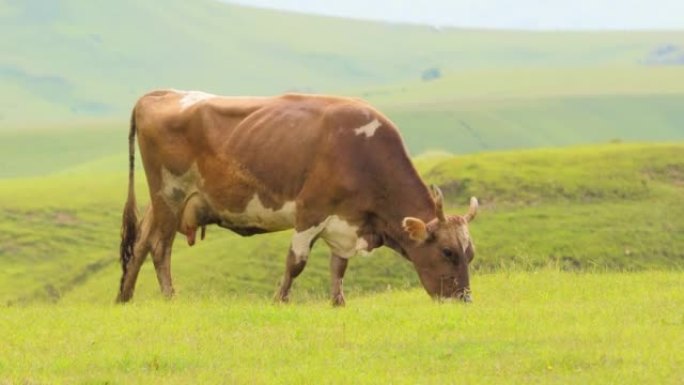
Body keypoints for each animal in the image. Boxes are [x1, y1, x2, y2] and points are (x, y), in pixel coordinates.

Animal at [117, 88, 478, 304]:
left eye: (470, 253)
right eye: (447, 251)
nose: (464, 299)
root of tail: (162, 93)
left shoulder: (344, 222)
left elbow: (338, 268)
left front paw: (338, 303)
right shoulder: (310, 212)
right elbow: (296, 263)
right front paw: (279, 301)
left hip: (164, 202)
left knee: (141, 243)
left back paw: (124, 297)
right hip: (169, 194)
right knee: (160, 248)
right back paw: (169, 298)